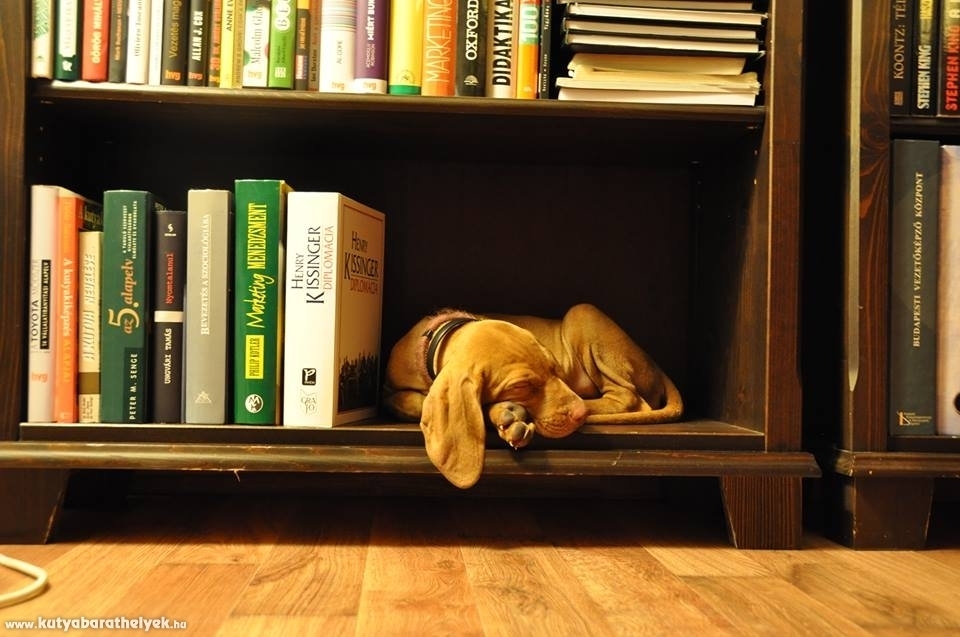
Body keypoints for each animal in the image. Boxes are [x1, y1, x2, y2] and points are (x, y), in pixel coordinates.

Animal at [382, 303, 683, 488]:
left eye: (555, 367)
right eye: (521, 386)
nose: (579, 414)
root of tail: (654, 364)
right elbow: (401, 399)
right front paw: (506, 415)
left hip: (582, 313)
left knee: (630, 398)